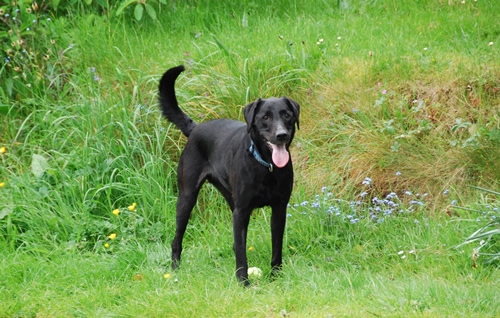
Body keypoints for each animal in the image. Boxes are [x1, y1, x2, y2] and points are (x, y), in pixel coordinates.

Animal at [160, 65, 298, 286]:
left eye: (286, 115)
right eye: (265, 117)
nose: (281, 135)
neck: (266, 166)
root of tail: (196, 127)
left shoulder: (279, 209)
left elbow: (276, 248)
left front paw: (276, 276)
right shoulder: (241, 211)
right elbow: (242, 251)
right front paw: (243, 281)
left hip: (230, 198)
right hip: (187, 199)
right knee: (176, 240)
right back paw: (175, 270)